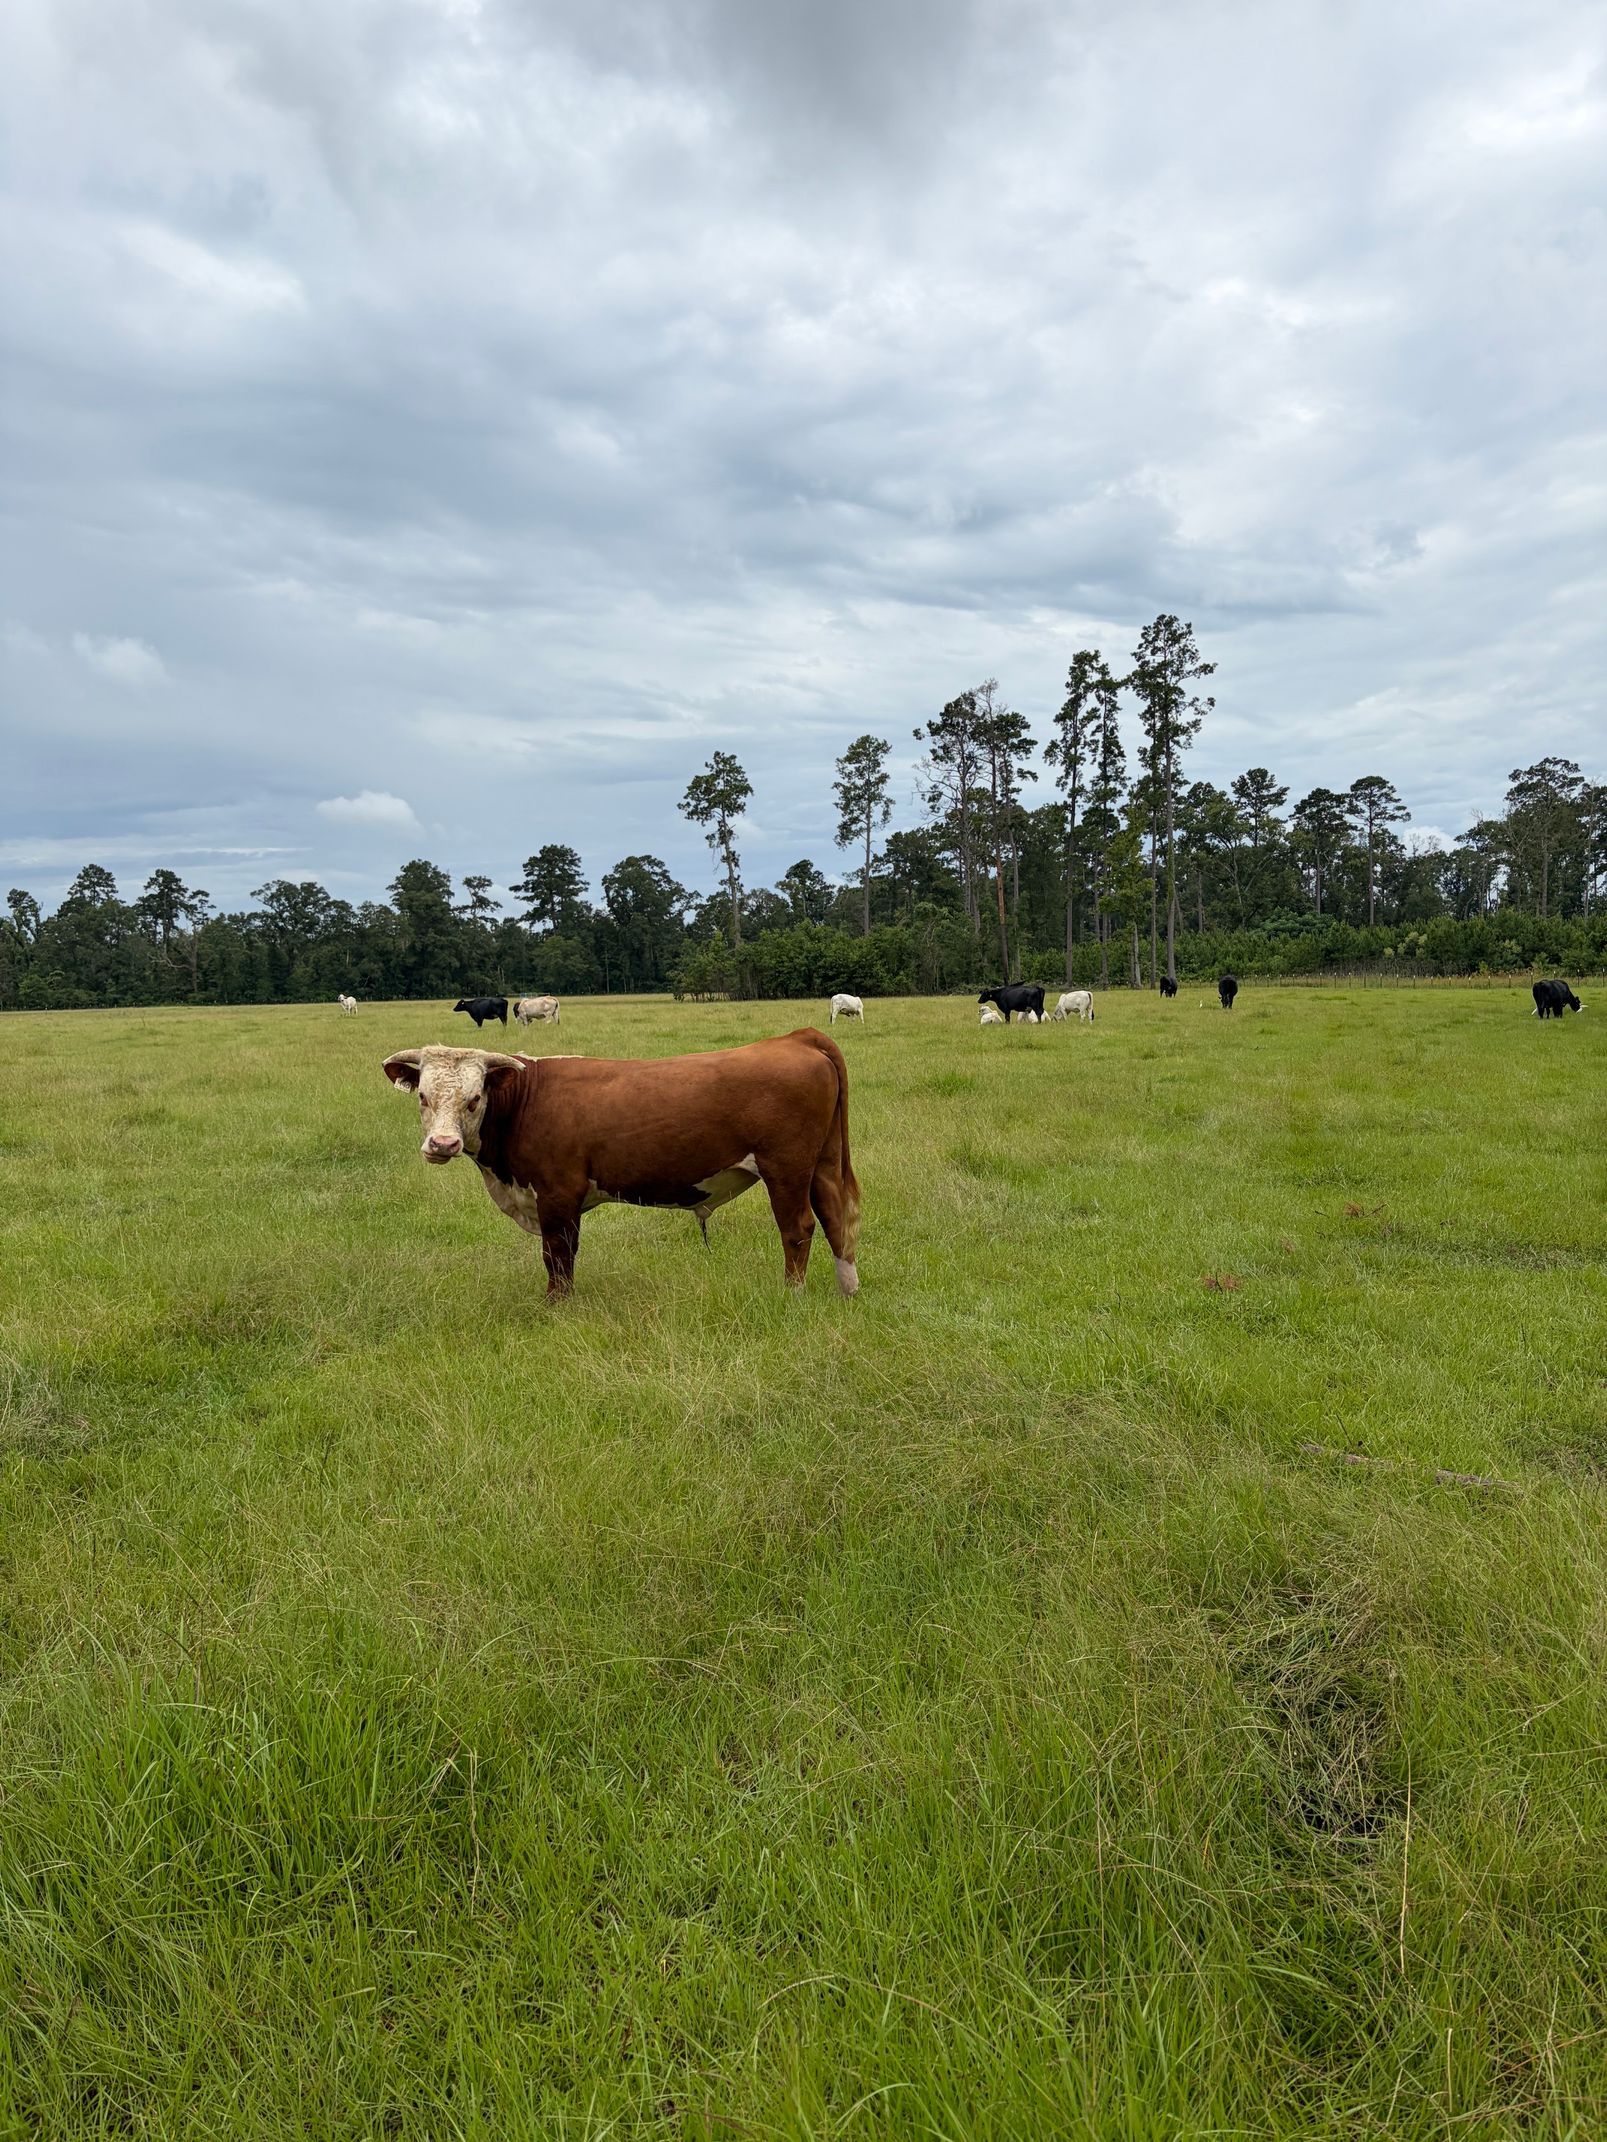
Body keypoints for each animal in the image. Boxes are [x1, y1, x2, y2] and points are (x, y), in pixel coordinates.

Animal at [382, 1030, 860, 1298]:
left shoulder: (557, 1194)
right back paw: (847, 1291)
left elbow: (558, 1257)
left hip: (786, 1167)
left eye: (474, 1098)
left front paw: (556, 1307)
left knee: (798, 1227)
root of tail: (796, 1038)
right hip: (823, 1162)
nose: (442, 1144)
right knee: (836, 1217)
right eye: (423, 1096)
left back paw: (792, 1295)